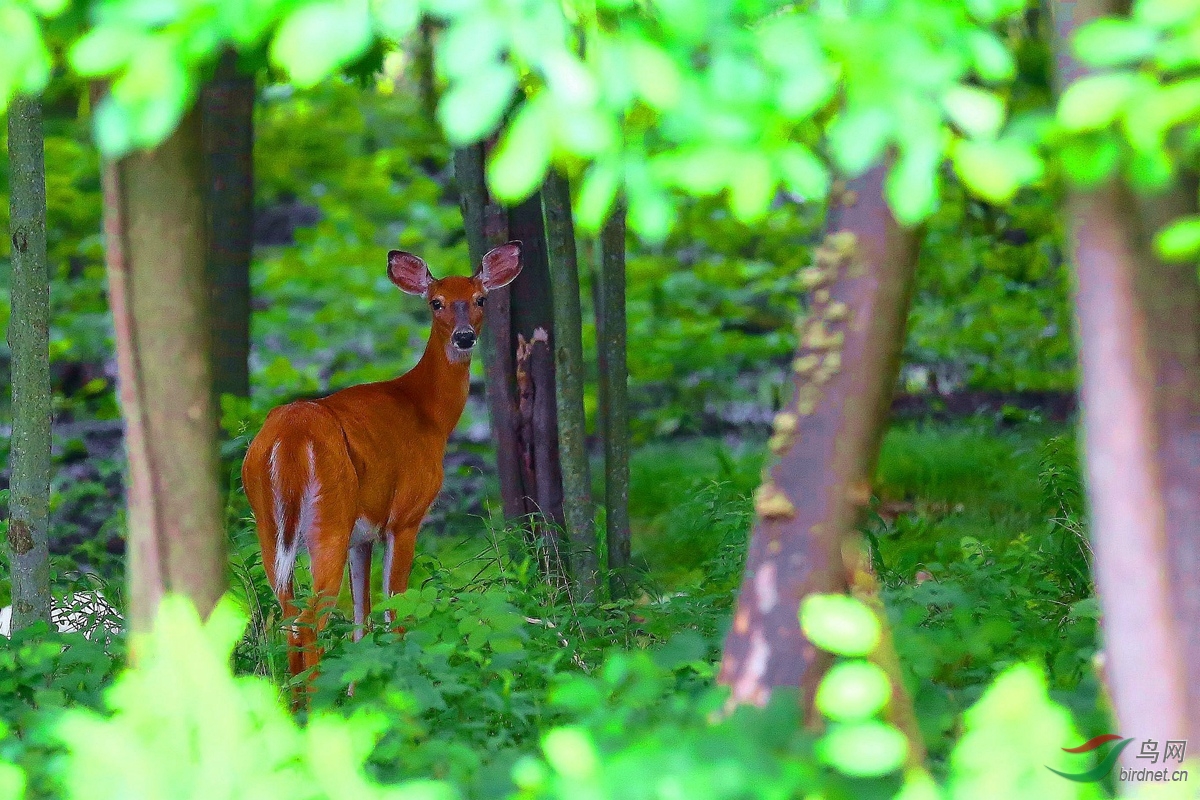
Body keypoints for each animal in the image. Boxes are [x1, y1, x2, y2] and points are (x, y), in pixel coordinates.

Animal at [241, 239, 523, 690]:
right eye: (436, 302)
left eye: (480, 298)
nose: (464, 337)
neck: (429, 414)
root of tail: (291, 437)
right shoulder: (405, 515)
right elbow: (396, 613)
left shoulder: (363, 533)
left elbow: (362, 621)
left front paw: (360, 691)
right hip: (329, 517)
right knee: (308, 622)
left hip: (267, 520)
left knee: (286, 617)